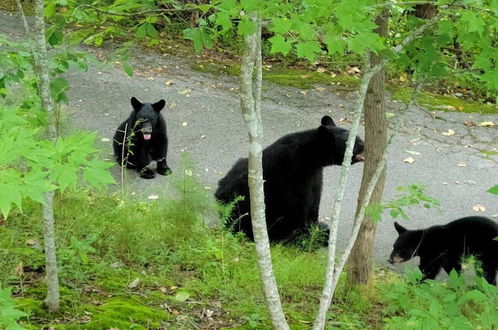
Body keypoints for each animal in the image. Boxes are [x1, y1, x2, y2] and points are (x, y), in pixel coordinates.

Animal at [216, 115, 364, 242]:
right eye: (349, 141)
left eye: (356, 136)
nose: (363, 144)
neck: (310, 158)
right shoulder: (292, 175)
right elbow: (298, 206)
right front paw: (307, 237)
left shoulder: (315, 176)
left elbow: (315, 201)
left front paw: (317, 229)